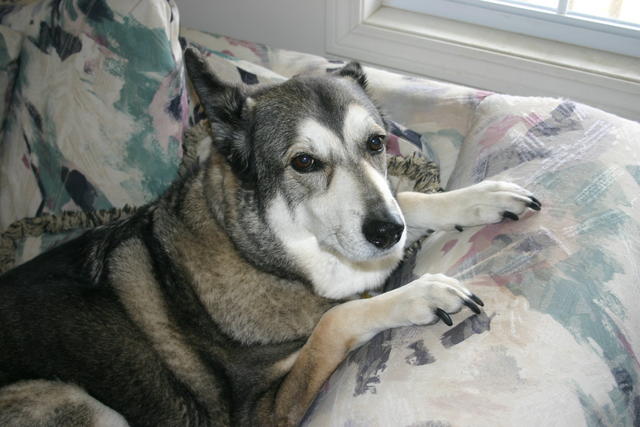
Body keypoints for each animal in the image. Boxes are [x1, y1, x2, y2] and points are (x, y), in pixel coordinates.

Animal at [0, 47, 541, 426]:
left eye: (376, 142)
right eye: (303, 161)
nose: (386, 233)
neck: (262, 256)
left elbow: (407, 198)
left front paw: (479, 198)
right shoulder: (263, 412)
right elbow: (336, 320)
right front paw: (418, 294)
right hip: (70, 399)